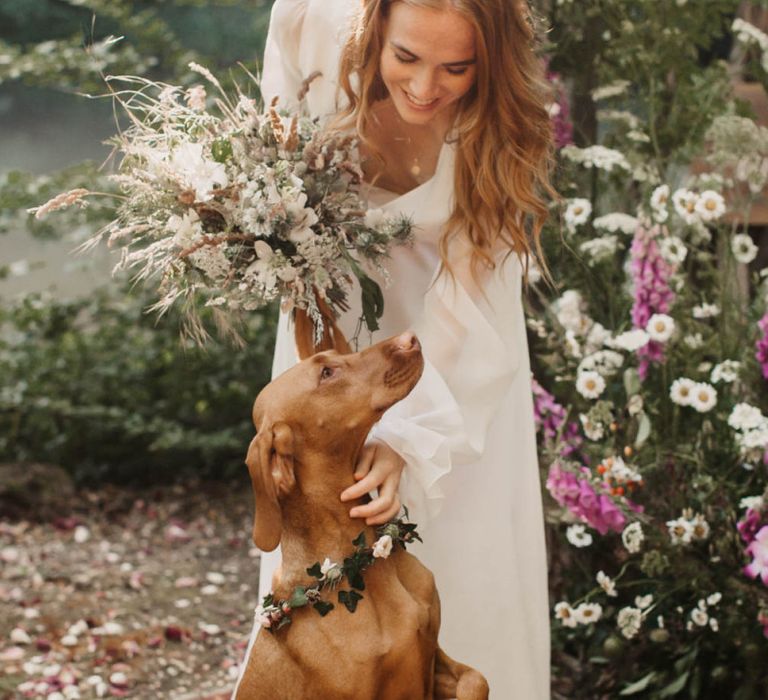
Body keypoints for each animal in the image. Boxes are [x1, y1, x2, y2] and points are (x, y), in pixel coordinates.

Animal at [236, 332, 486, 700]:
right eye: (326, 373)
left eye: (331, 355)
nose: (409, 338)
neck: (362, 560)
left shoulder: (435, 656)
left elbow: (476, 680)